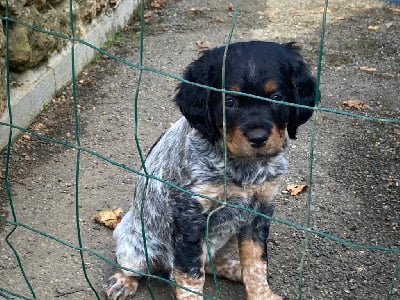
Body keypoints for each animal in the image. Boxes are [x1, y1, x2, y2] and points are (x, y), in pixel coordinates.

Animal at [104, 40, 318, 300]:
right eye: (229, 102)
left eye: (277, 97)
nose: (258, 138)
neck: (243, 168)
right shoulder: (190, 217)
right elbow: (189, 276)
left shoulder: (260, 209)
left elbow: (256, 262)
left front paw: (261, 294)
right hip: (135, 241)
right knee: (137, 266)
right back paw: (123, 282)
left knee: (210, 262)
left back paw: (236, 270)